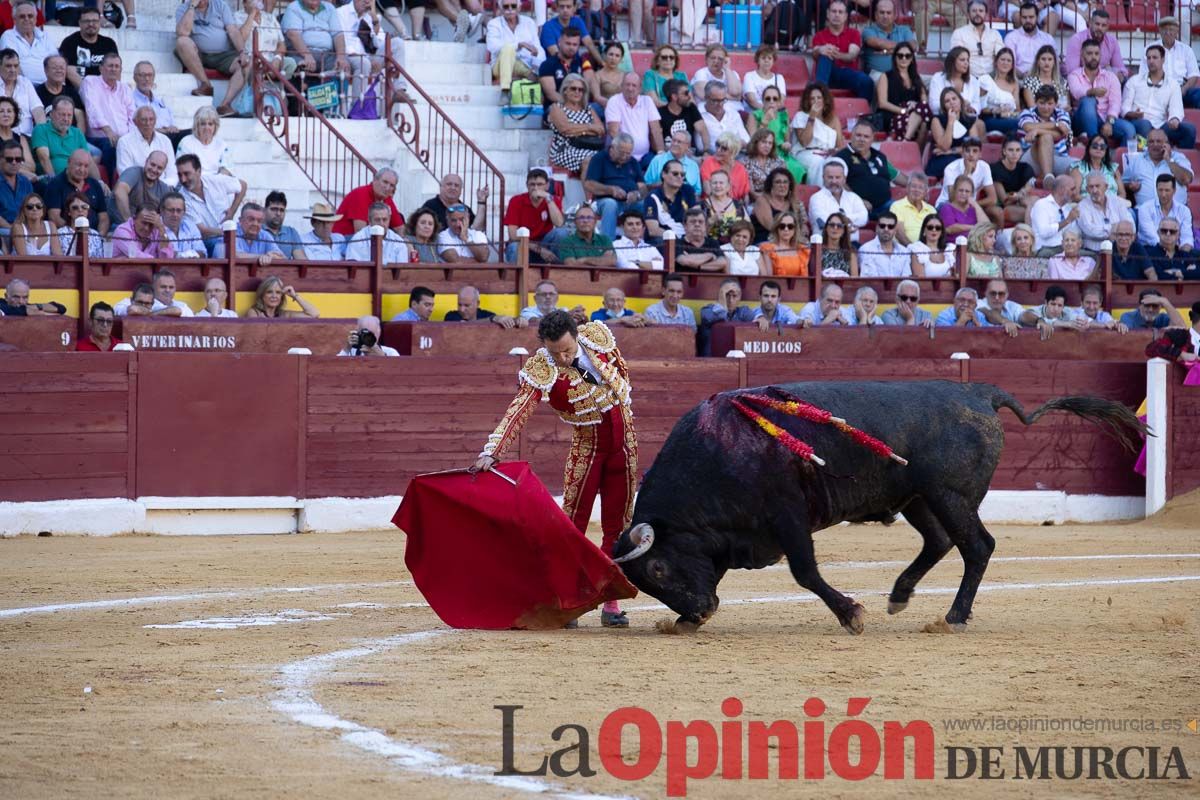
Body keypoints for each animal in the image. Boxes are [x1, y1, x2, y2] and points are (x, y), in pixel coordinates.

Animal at [614, 379, 1147, 633]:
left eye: (657, 569)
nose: (701, 612)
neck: (717, 452)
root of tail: (979, 392)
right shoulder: (734, 535)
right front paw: (683, 621)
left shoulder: (787, 517)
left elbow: (805, 572)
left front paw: (851, 615)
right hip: (920, 498)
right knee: (940, 541)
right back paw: (899, 595)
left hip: (951, 495)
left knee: (976, 546)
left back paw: (953, 617)